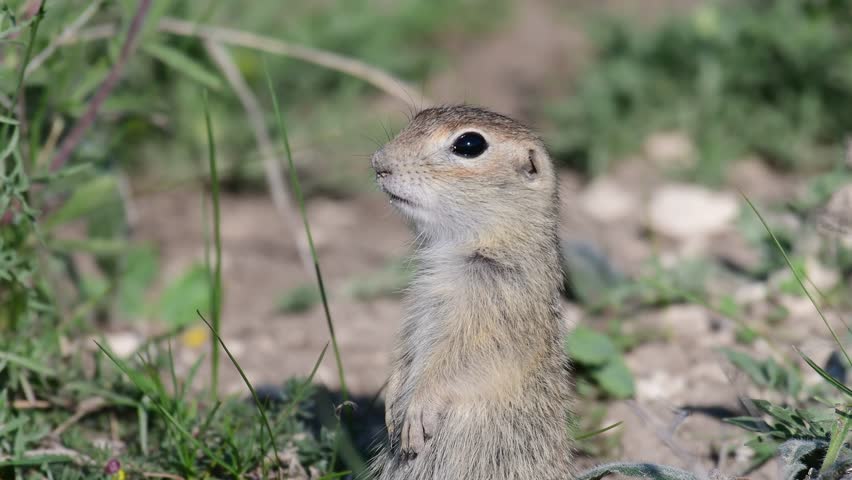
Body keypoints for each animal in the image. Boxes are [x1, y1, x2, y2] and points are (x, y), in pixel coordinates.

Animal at [368, 105, 574, 480]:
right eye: (418, 116)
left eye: (469, 144)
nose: (379, 162)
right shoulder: (420, 305)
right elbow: (404, 353)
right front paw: (391, 402)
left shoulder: (502, 310)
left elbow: (462, 363)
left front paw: (417, 410)